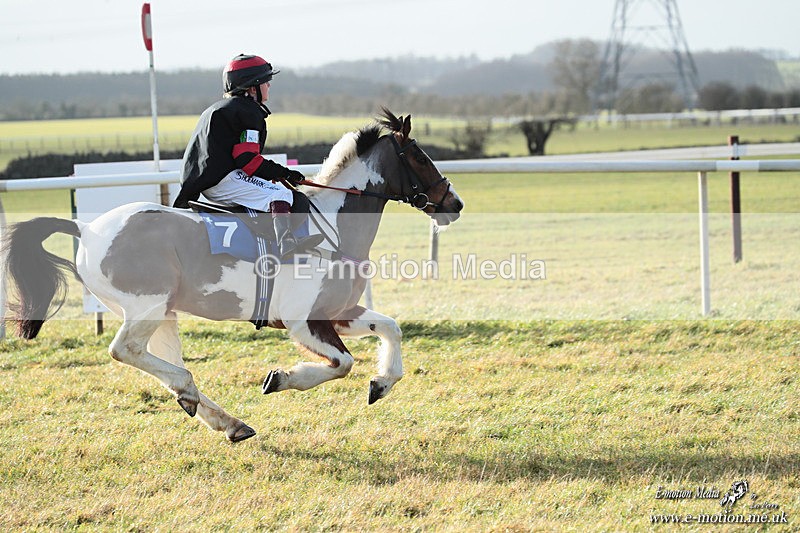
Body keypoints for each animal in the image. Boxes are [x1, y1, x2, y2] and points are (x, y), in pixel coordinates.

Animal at [2, 109, 464, 442]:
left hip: (161, 315)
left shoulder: (339, 312)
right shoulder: (304, 322)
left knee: (159, 361)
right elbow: (342, 364)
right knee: (125, 351)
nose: (454, 203)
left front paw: (382, 382)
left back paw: (225, 420)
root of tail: (87, 227)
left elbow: (391, 328)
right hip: (146, 308)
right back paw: (196, 396)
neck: (331, 226)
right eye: (419, 157)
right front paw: (283, 378)